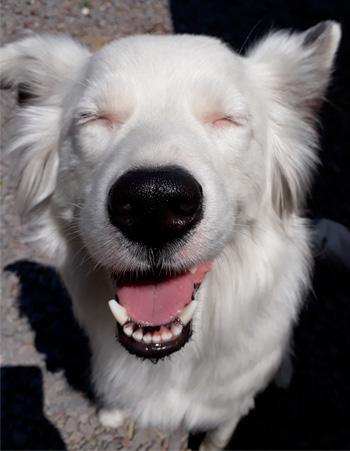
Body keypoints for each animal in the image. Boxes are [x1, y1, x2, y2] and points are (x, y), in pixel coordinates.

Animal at [0, 22, 340, 451]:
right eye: (94, 118)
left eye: (227, 119)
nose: (154, 204)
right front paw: (112, 411)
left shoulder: (229, 408)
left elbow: (216, 438)